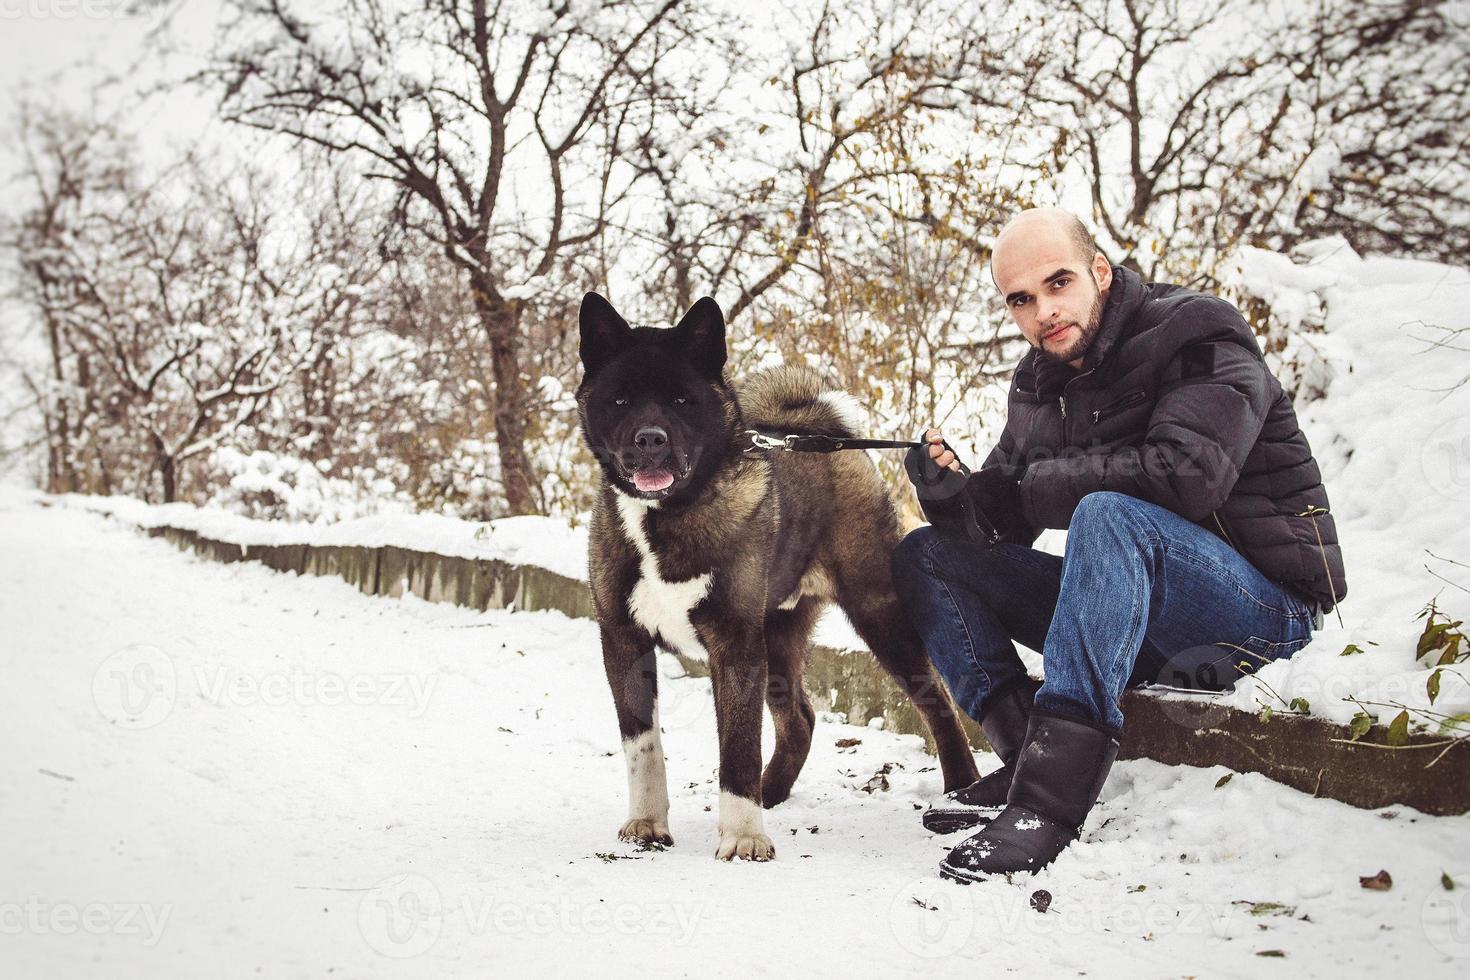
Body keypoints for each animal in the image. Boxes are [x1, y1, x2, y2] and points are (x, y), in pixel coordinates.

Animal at [573, 289, 976, 858]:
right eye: (621, 400)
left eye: (681, 400)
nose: (651, 440)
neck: (670, 514)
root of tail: (821, 433)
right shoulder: (623, 639)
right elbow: (643, 746)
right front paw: (648, 824)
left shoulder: (735, 644)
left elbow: (738, 747)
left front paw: (744, 837)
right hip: (780, 634)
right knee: (800, 721)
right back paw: (774, 791)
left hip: (879, 612)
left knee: (937, 704)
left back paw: (962, 791)